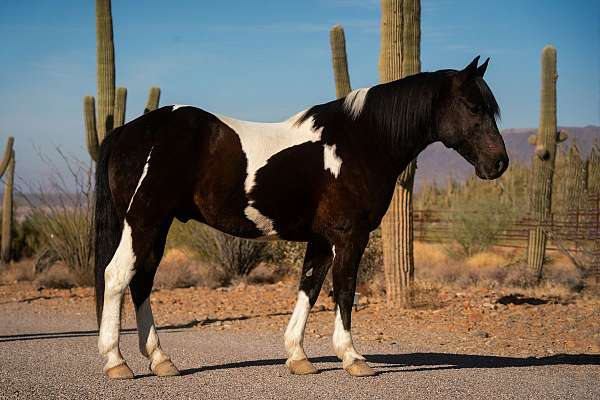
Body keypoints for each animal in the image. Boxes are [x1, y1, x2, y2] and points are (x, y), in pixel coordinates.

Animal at [94, 56, 506, 378]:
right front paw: (353, 358)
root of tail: (126, 130)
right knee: (117, 276)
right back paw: (116, 362)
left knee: (141, 281)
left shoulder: (322, 238)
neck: (362, 141)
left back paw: (161, 360)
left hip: (158, 226)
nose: (499, 163)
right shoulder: (349, 235)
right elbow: (344, 290)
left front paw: (298, 356)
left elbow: (309, 288)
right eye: (473, 107)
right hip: (143, 221)